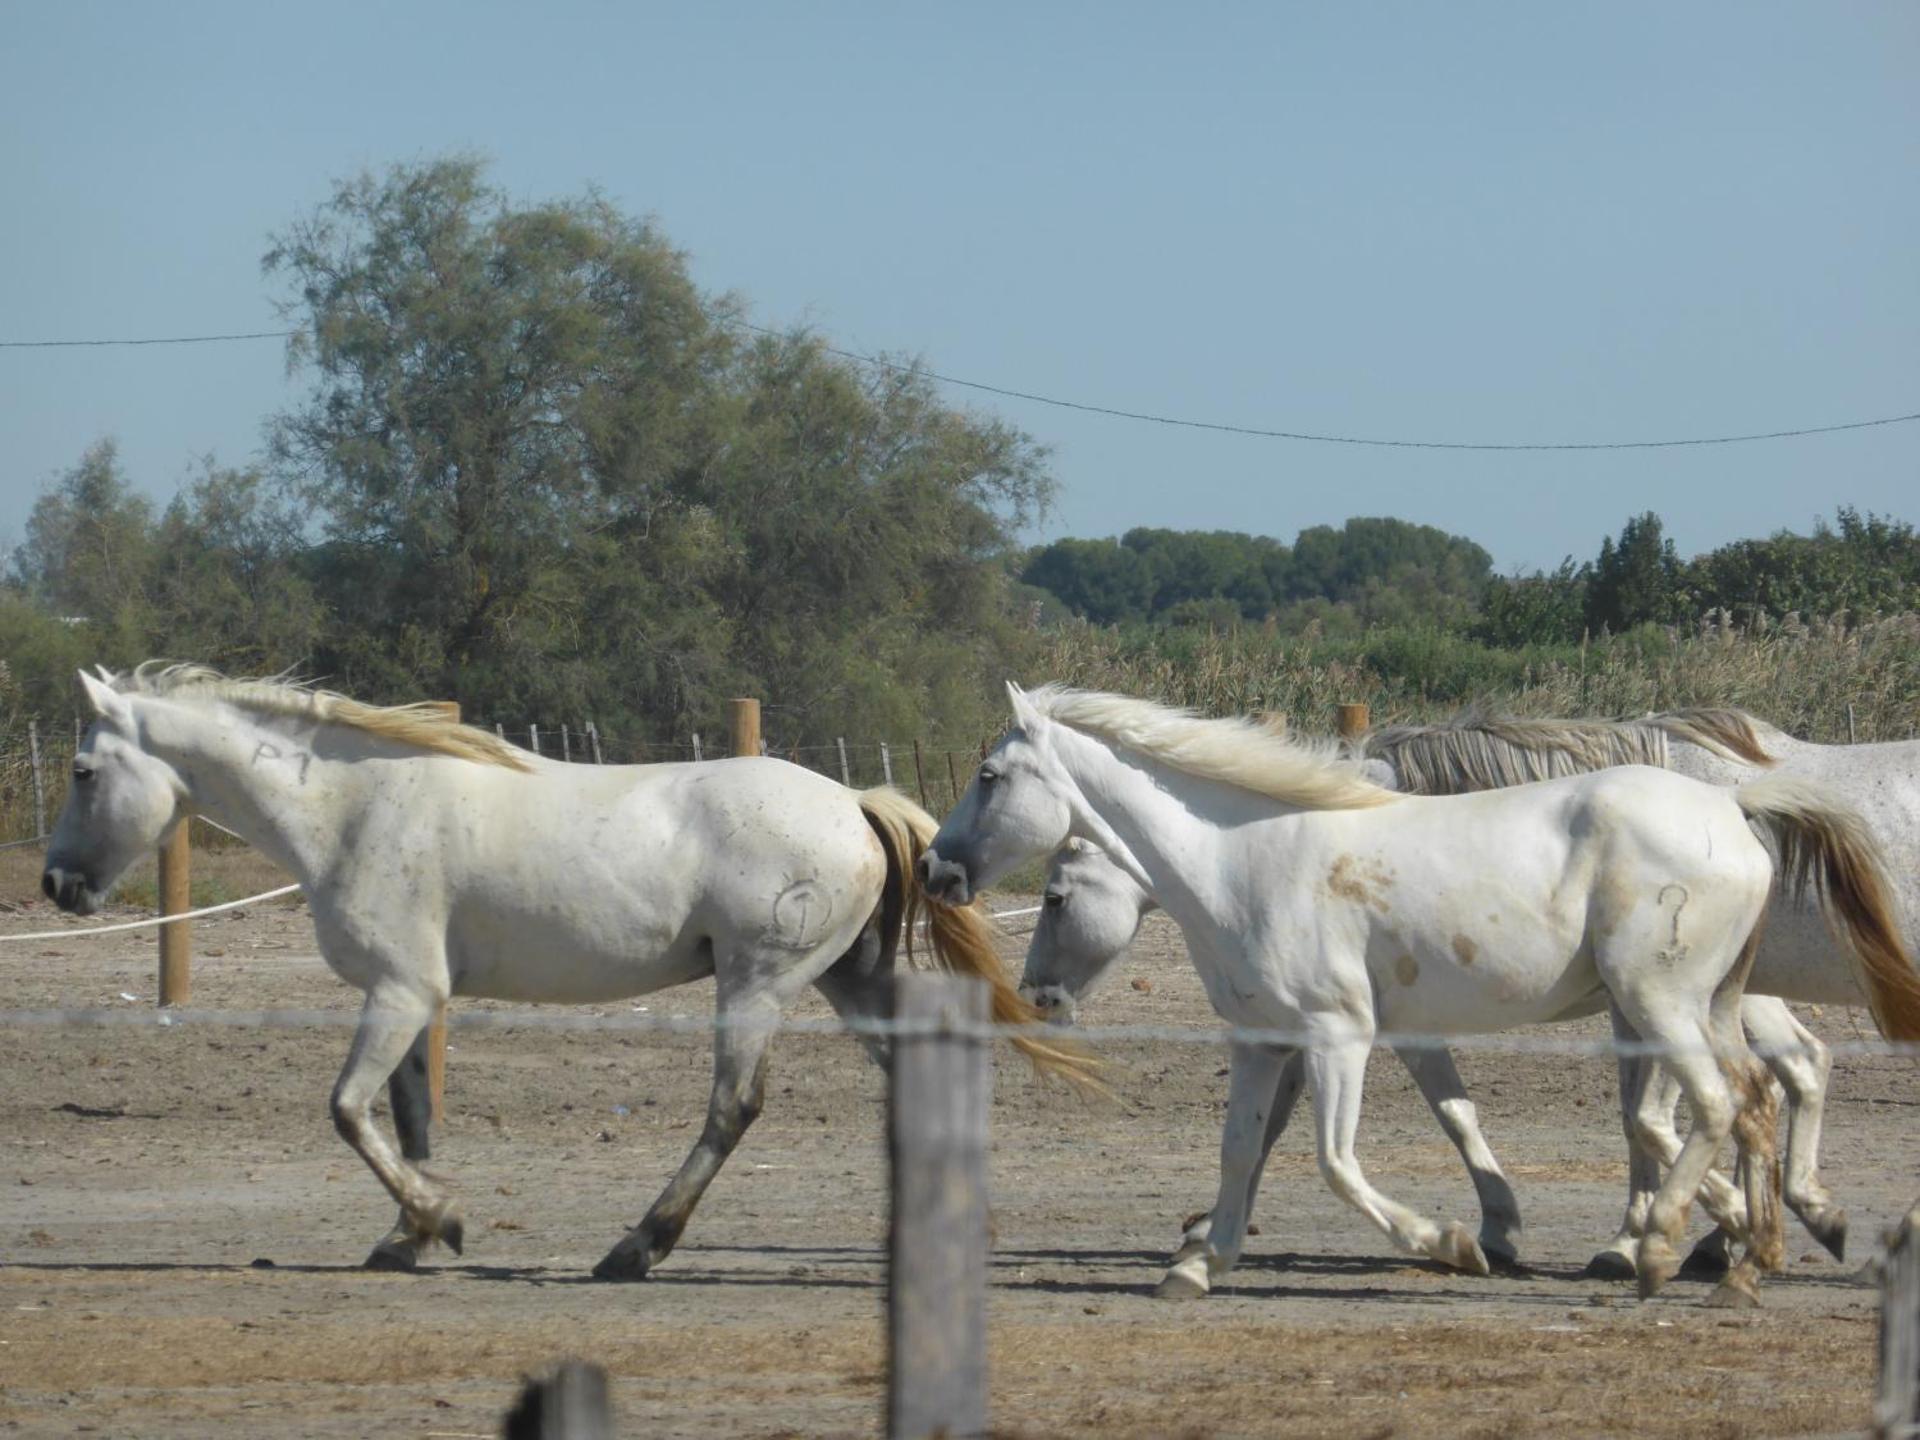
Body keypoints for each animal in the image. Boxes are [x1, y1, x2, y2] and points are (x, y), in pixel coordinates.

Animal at [40, 664, 1092, 1277]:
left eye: (84, 772)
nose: (55, 884)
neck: (353, 807)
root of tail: (854, 804)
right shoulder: (416, 997)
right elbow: (410, 1118)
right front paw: (408, 1237)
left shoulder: (399, 993)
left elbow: (347, 1111)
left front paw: (439, 1221)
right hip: (848, 981)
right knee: (917, 1077)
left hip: (757, 984)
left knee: (732, 1109)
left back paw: (638, 1246)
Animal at [920, 684, 1918, 1303]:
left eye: (991, 777)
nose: (936, 869)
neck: (1245, 857)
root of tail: (1736, 812)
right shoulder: (1263, 1040)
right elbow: (1245, 1150)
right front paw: (1197, 1265)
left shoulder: (1341, 1036)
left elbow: (1339, 1162)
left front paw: (1457, 1244)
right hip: (1707, 1004)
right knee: (1755, 1097)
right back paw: (1751, 1259)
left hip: (1659, 1001)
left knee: (1711, 1105)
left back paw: (1667, 1249)